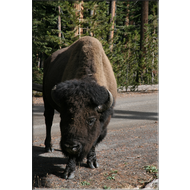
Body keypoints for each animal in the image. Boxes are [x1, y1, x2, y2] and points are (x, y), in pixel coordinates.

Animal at [42, 36, 116, 180]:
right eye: (64, 117)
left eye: (91, 120)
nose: (71, 146)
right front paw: (69, 172)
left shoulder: (104, 123)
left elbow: (94, 141)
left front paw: (92, 162)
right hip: (46, 100)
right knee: (48, 120)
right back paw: (49, 147)